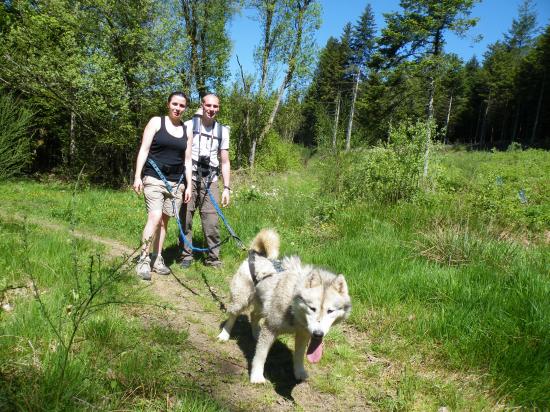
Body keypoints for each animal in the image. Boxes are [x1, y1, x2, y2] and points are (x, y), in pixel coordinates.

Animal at [217, 229, 352, 384]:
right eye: (312, 308)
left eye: (330, 311)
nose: (318, 334)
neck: (293, 307)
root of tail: (256, 254)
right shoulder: (270, 328)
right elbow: (260, 356)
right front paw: (257, 376)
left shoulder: (304, 334)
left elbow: (299, 356)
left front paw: (299, 372)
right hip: (241, 301)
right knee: (232, 316)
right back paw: (224, 335)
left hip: (263, 306)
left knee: (254, 315)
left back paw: (256, 333)